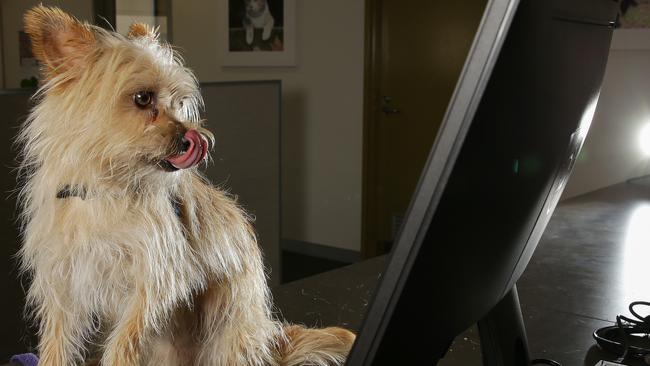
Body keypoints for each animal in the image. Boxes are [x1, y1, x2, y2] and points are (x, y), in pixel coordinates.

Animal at [17, 5, 354, 366]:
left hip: (227, 336)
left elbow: (123, 341)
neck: (105, 188)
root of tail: (268, 340)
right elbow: (57, 342)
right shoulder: (62, 285)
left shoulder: (155, 282)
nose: (193, 138)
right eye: (142, 98)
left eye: (179, 102)